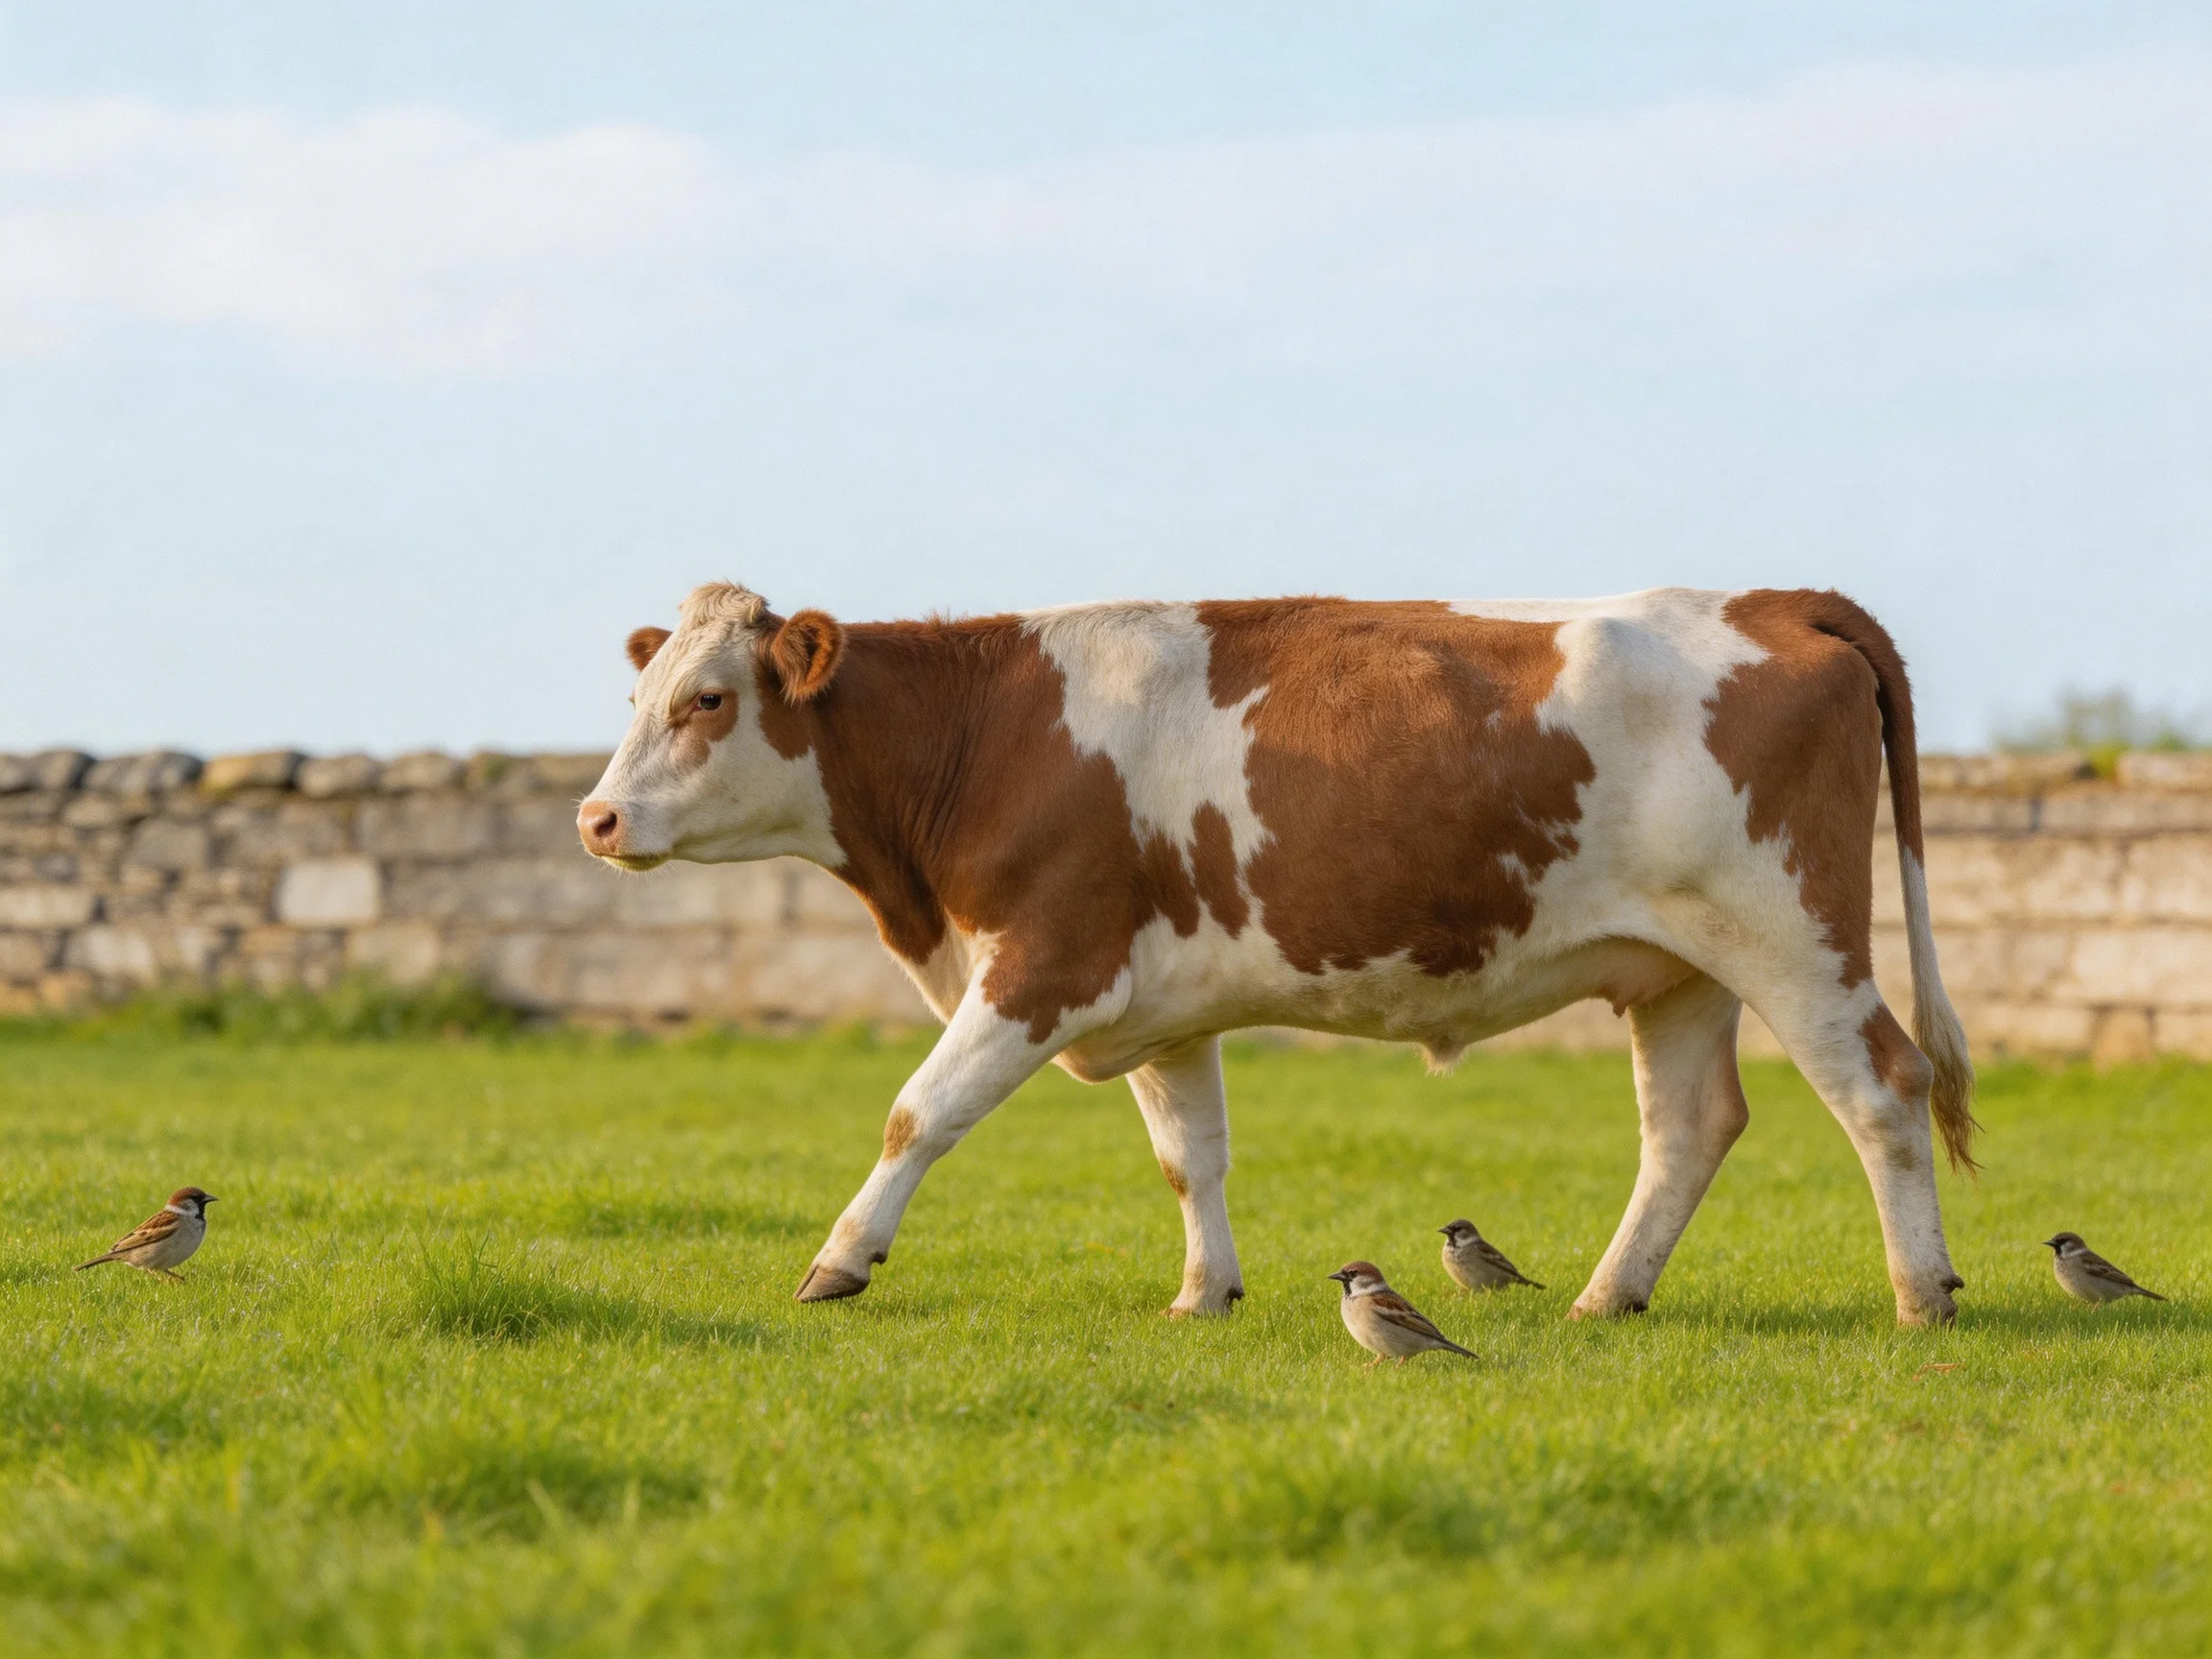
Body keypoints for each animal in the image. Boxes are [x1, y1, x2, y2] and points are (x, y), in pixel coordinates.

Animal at [579, 583, 1977, 1326]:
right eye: (638, 699)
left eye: (708, 701)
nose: (595, 818)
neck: (989, 742)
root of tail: (1770, 598)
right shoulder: (1156, 1008)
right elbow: (1188, 1156)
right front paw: (1205, 1292)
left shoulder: (1044, 966)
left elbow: (915, 1113)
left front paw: (840, 1259)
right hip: (1678, 967)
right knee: (1690, 1125)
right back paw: (1605, 1295)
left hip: (1792, 934)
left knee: (1882, 1090)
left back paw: (1923, 1292)